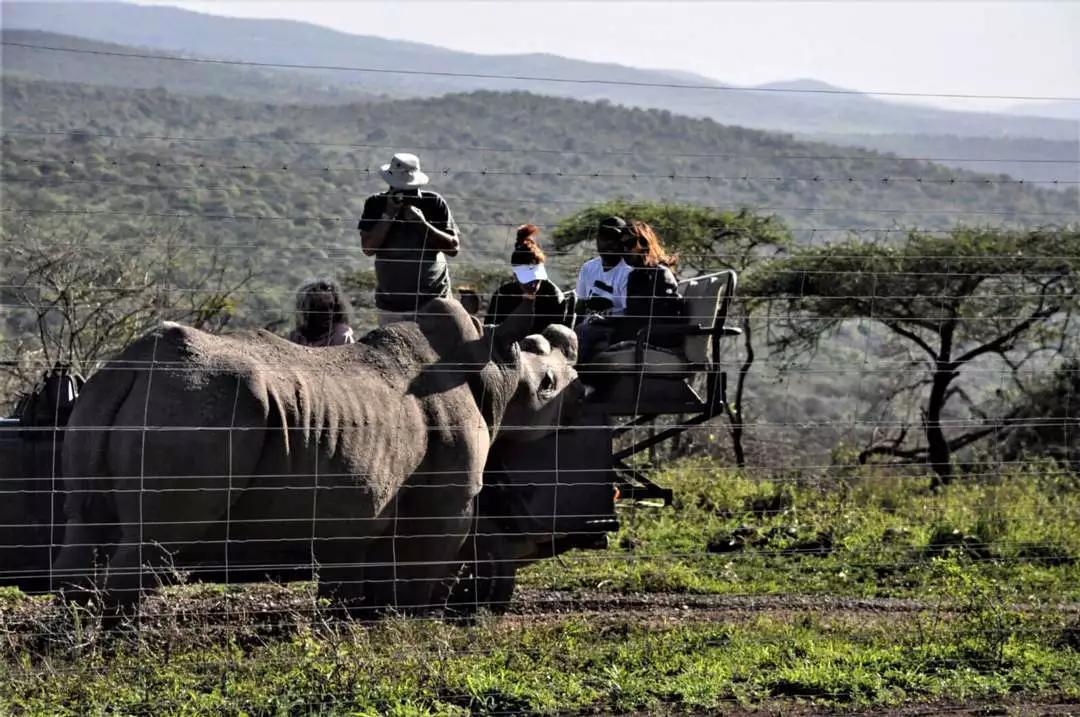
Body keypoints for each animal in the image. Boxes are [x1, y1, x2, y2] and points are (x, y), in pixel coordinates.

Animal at [51, 299, 580, 613]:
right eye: (548, 384)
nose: (579, 383)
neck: (493, 366)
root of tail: (130, 367)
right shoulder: (444, 503)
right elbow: (418, 574)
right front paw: (409, 630)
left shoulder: (356, 506)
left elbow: (355, 580)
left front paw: (359, 627)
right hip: (198, 404)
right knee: (155, 540)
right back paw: (123, 650)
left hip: (104, 403)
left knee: (86, 527)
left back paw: (73, 647)